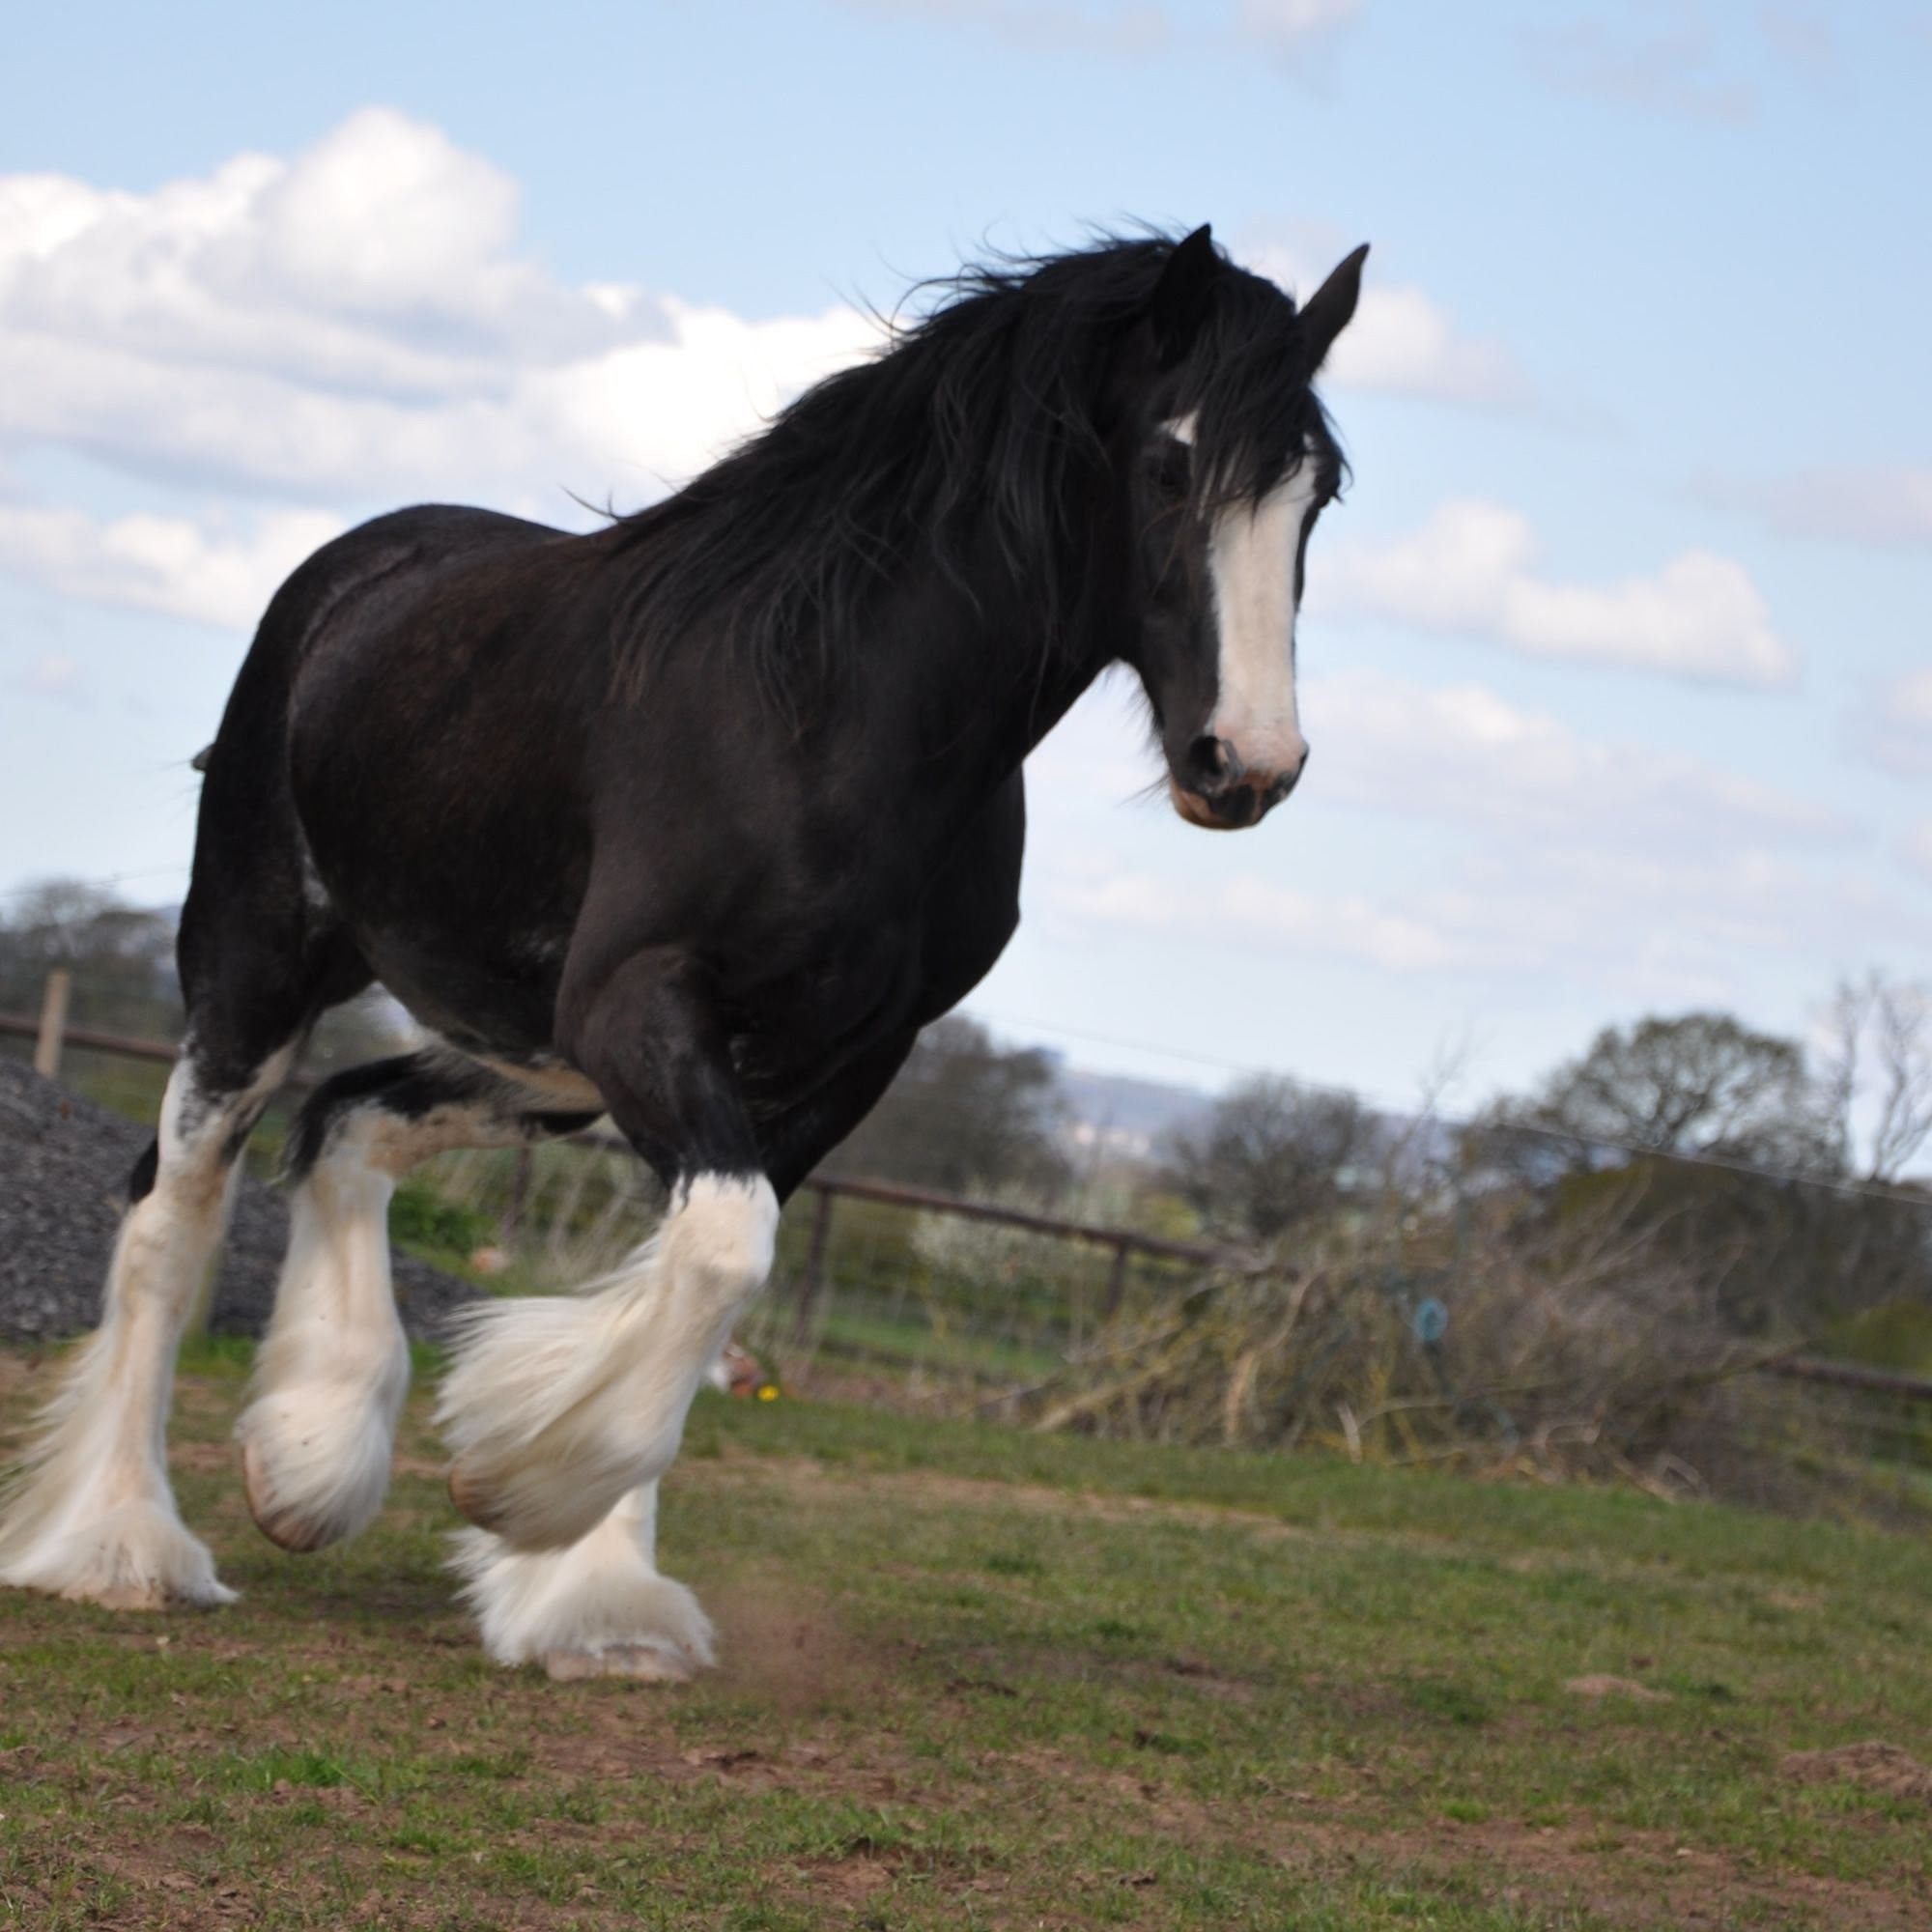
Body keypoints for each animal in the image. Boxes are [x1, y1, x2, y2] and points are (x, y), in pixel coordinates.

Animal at [0, 222, 1368, 1677]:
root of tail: (353, 574)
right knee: (176, 1212)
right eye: (1169, 463)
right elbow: (716, 1252)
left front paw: (595, 1598)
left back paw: (309, 1461)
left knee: (350, 1121)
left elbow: (699, 1279)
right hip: (260, 967)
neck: (832, 718)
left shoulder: (833, 1061)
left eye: (1317, 493)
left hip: (534, 1058)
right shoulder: (641, 1004)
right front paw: (521, 1491)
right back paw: (124, 1546)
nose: (1247, 764)